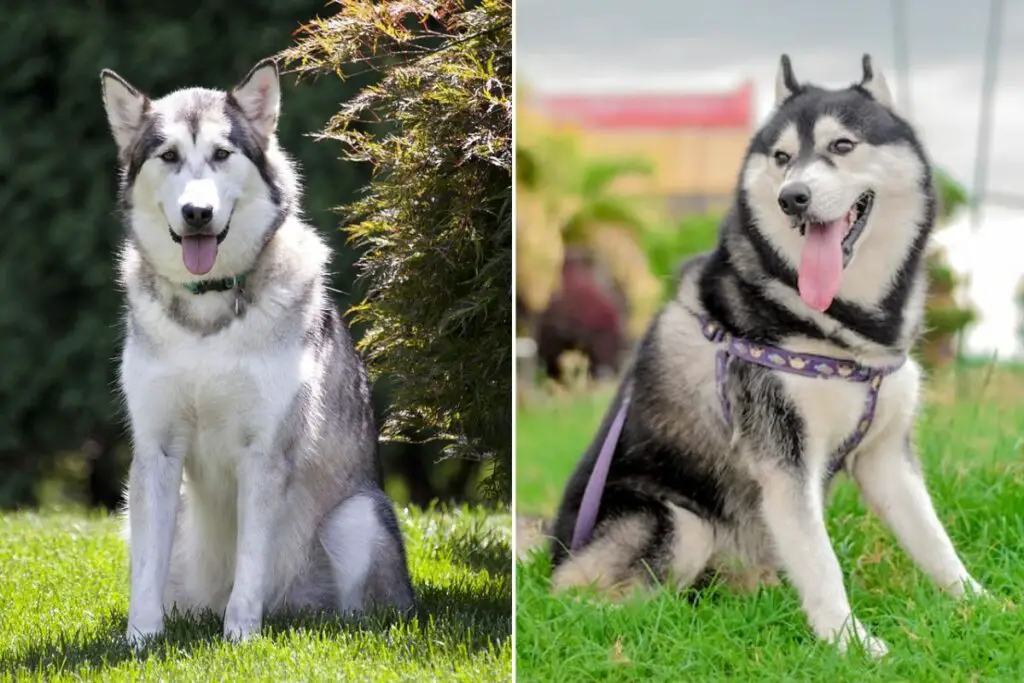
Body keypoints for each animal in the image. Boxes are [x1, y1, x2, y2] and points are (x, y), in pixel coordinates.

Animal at [98, 57, 411, 647]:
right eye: (168, 156)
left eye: (222, 154)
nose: (198, 213)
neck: (208, 310)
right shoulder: (156, 449)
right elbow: (145, 574)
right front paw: (141, 639)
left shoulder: (263, 450)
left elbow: (250, 563)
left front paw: (241, 636)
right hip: (140, 511)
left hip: (356, 519)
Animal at [557, 57, 987, 655]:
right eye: (782, 158)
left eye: (842, 145)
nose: (793, 197)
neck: (844, 330)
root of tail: (553, 549)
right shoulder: (783, 457)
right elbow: (822, 561)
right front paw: (852, 644)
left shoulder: (885, 456)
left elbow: (934, 539)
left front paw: (983, 605)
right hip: (676, 522)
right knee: (581, 597)